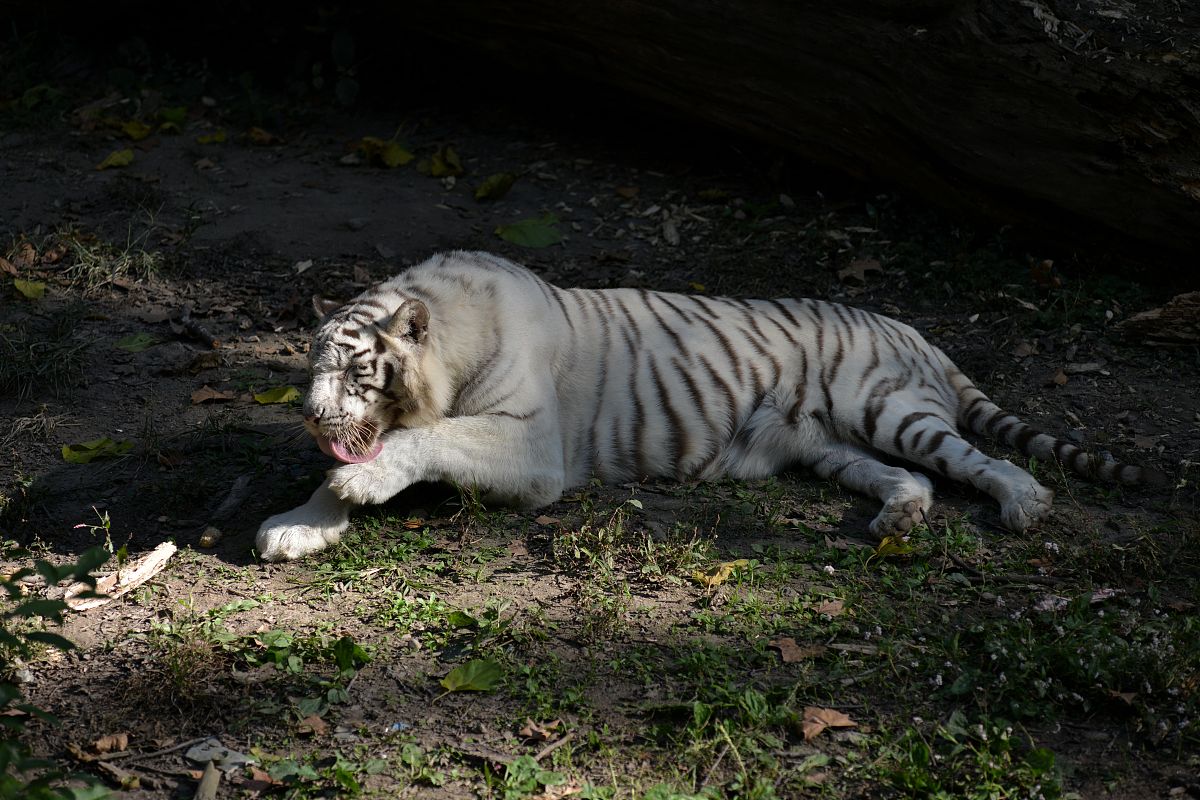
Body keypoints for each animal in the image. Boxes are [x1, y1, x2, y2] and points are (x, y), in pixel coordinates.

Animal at [255, 251, 1161, 563]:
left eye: (354, 372)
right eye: (309, 368)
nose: (310, 418)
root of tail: (917, 331)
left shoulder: (532, 451)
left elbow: (426, 441)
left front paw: (356, 488)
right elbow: (353, 467)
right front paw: (299, 524)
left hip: (884, 408)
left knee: (978, 459)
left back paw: (1023, 504)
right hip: (829, 445)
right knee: (913, 480)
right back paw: (899, 518)